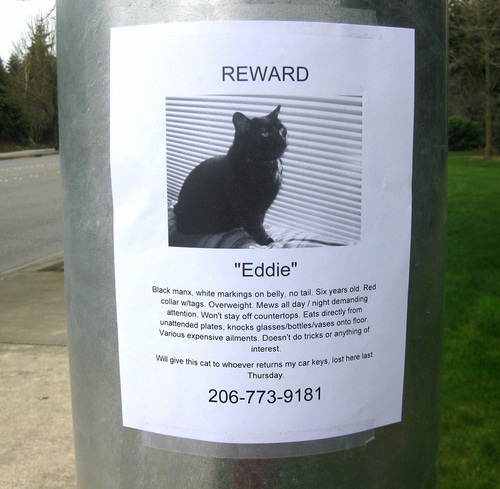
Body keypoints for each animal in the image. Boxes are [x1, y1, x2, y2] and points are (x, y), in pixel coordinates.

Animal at [173, 105, 287, 245]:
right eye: (264, 133)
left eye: (281, 129)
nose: (282, 139)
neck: (267, 165)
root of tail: (177, 208)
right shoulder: (244, 206)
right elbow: (255, 225)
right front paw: (265, 240)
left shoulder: (262, 206)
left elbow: (260, 220)